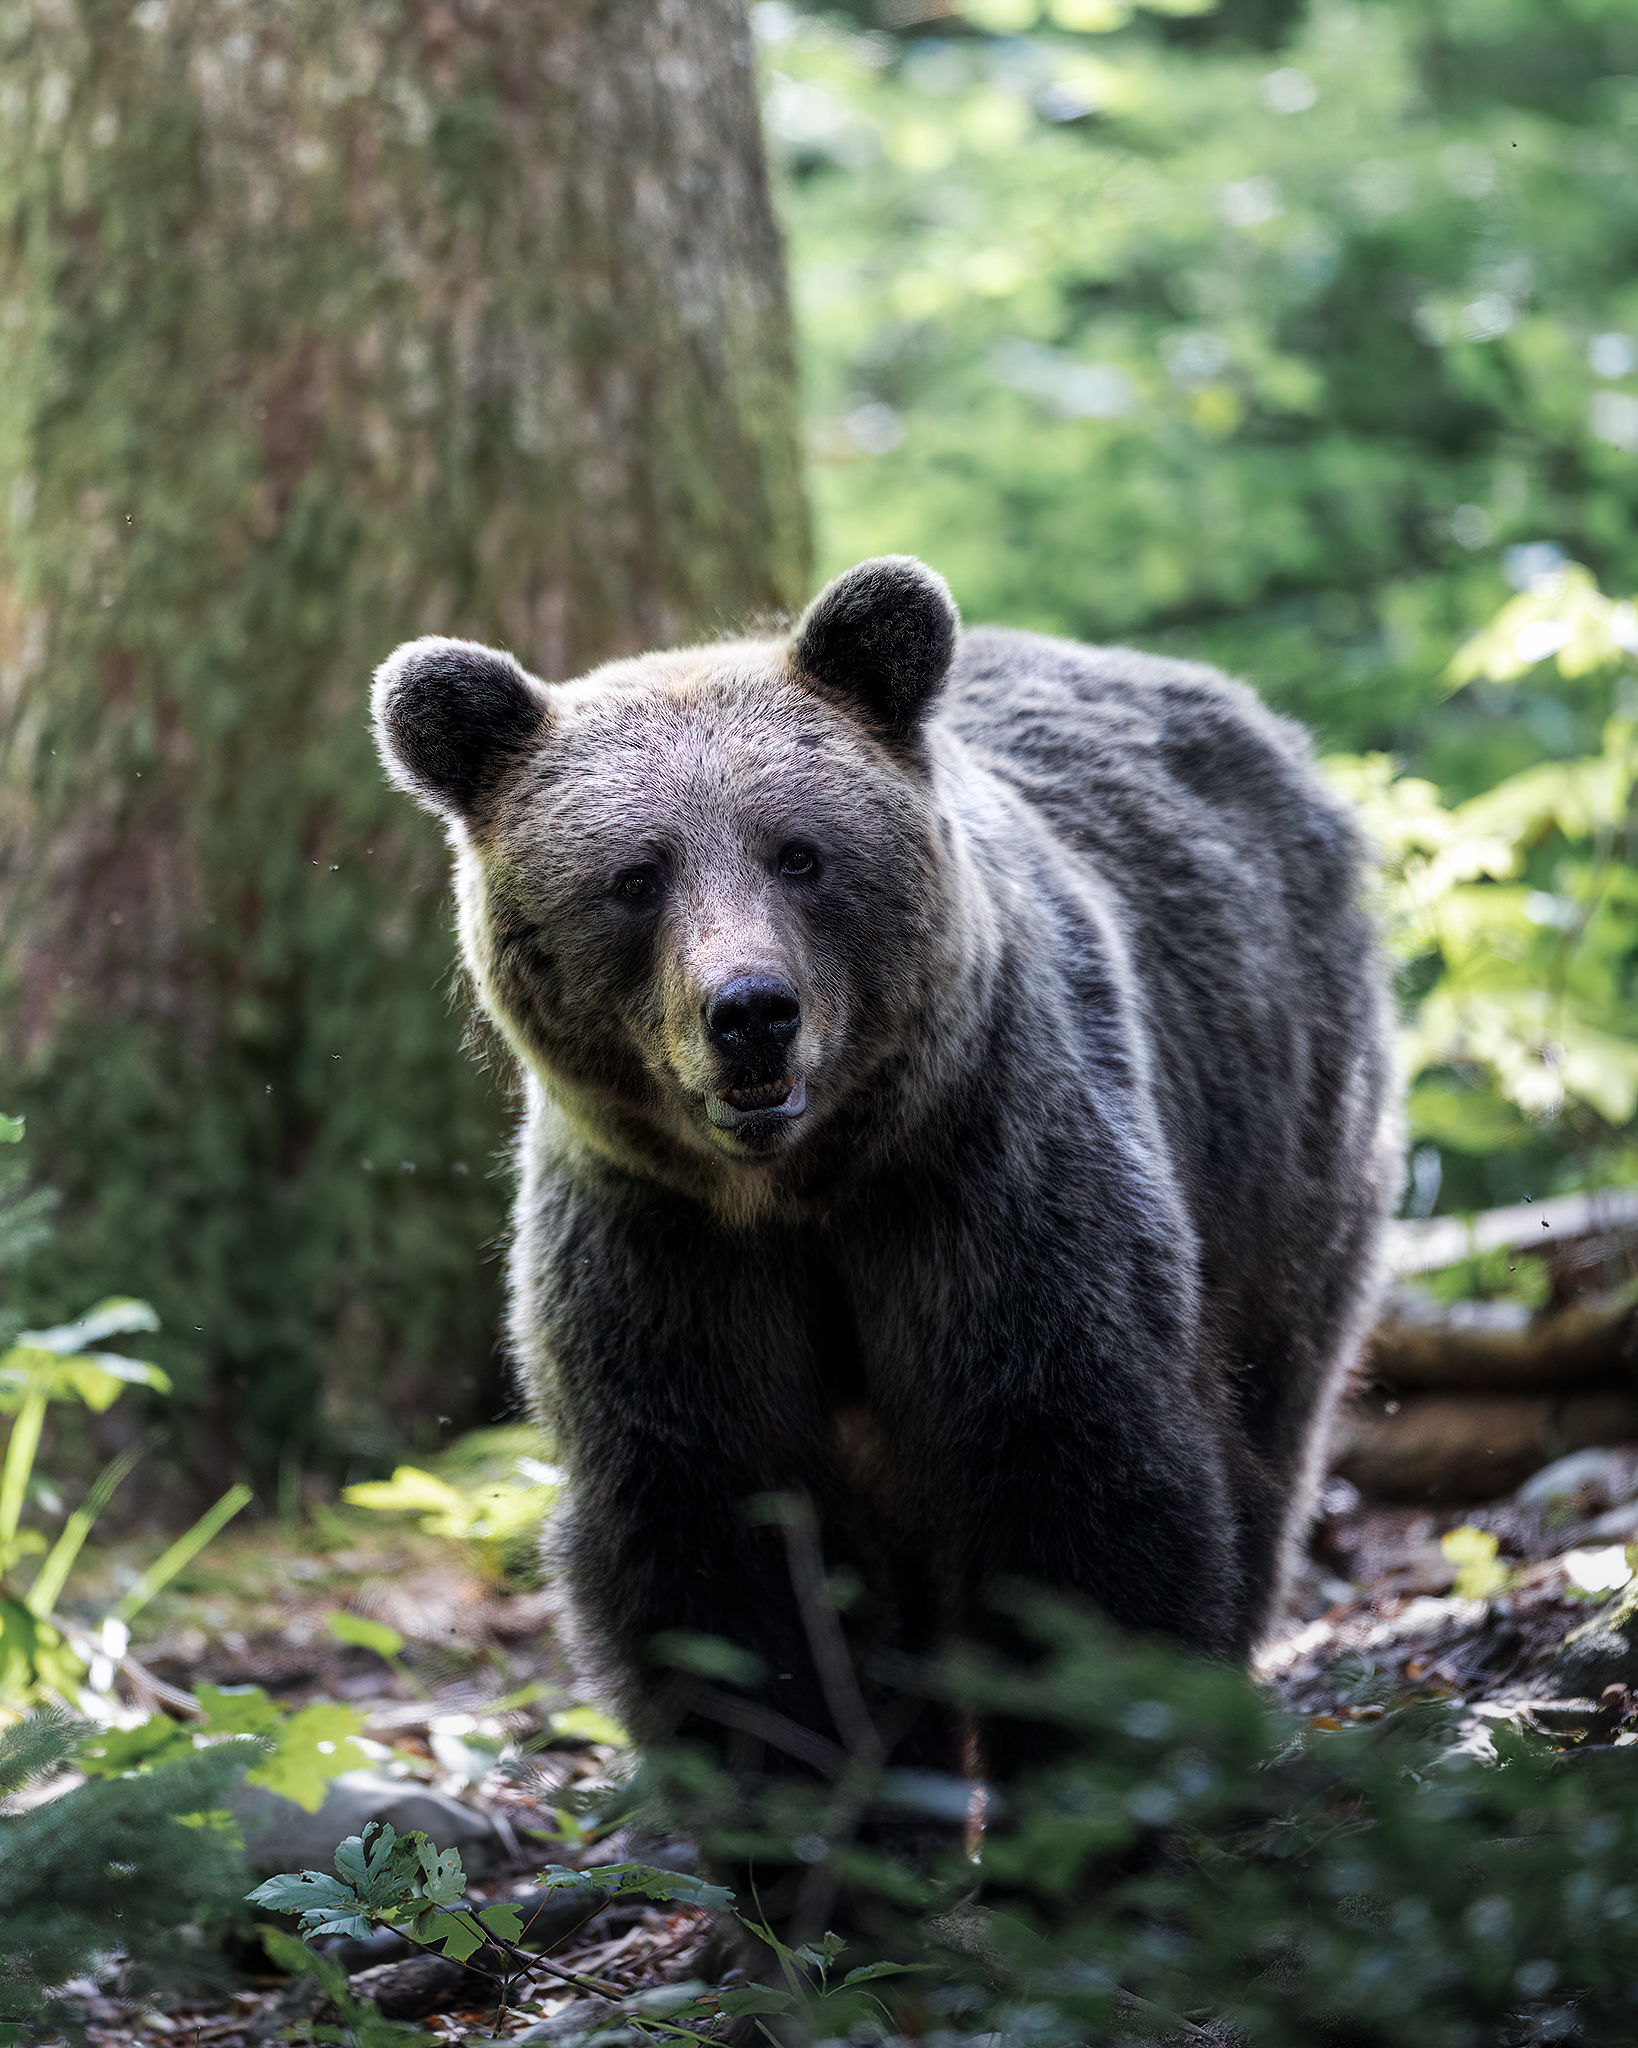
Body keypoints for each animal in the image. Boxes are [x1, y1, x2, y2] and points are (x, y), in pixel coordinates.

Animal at [372, 555, 1396, 1910]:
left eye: (799, 852)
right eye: (635, 875)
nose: (751, 1010)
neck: (802, 1190)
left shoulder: (979, 1186)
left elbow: (1074, 1479)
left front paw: (1071, 1840)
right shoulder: (669, 1252)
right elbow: (719, 1554)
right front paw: (819, 1861)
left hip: (1282, 1134)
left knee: (1267, 1427)